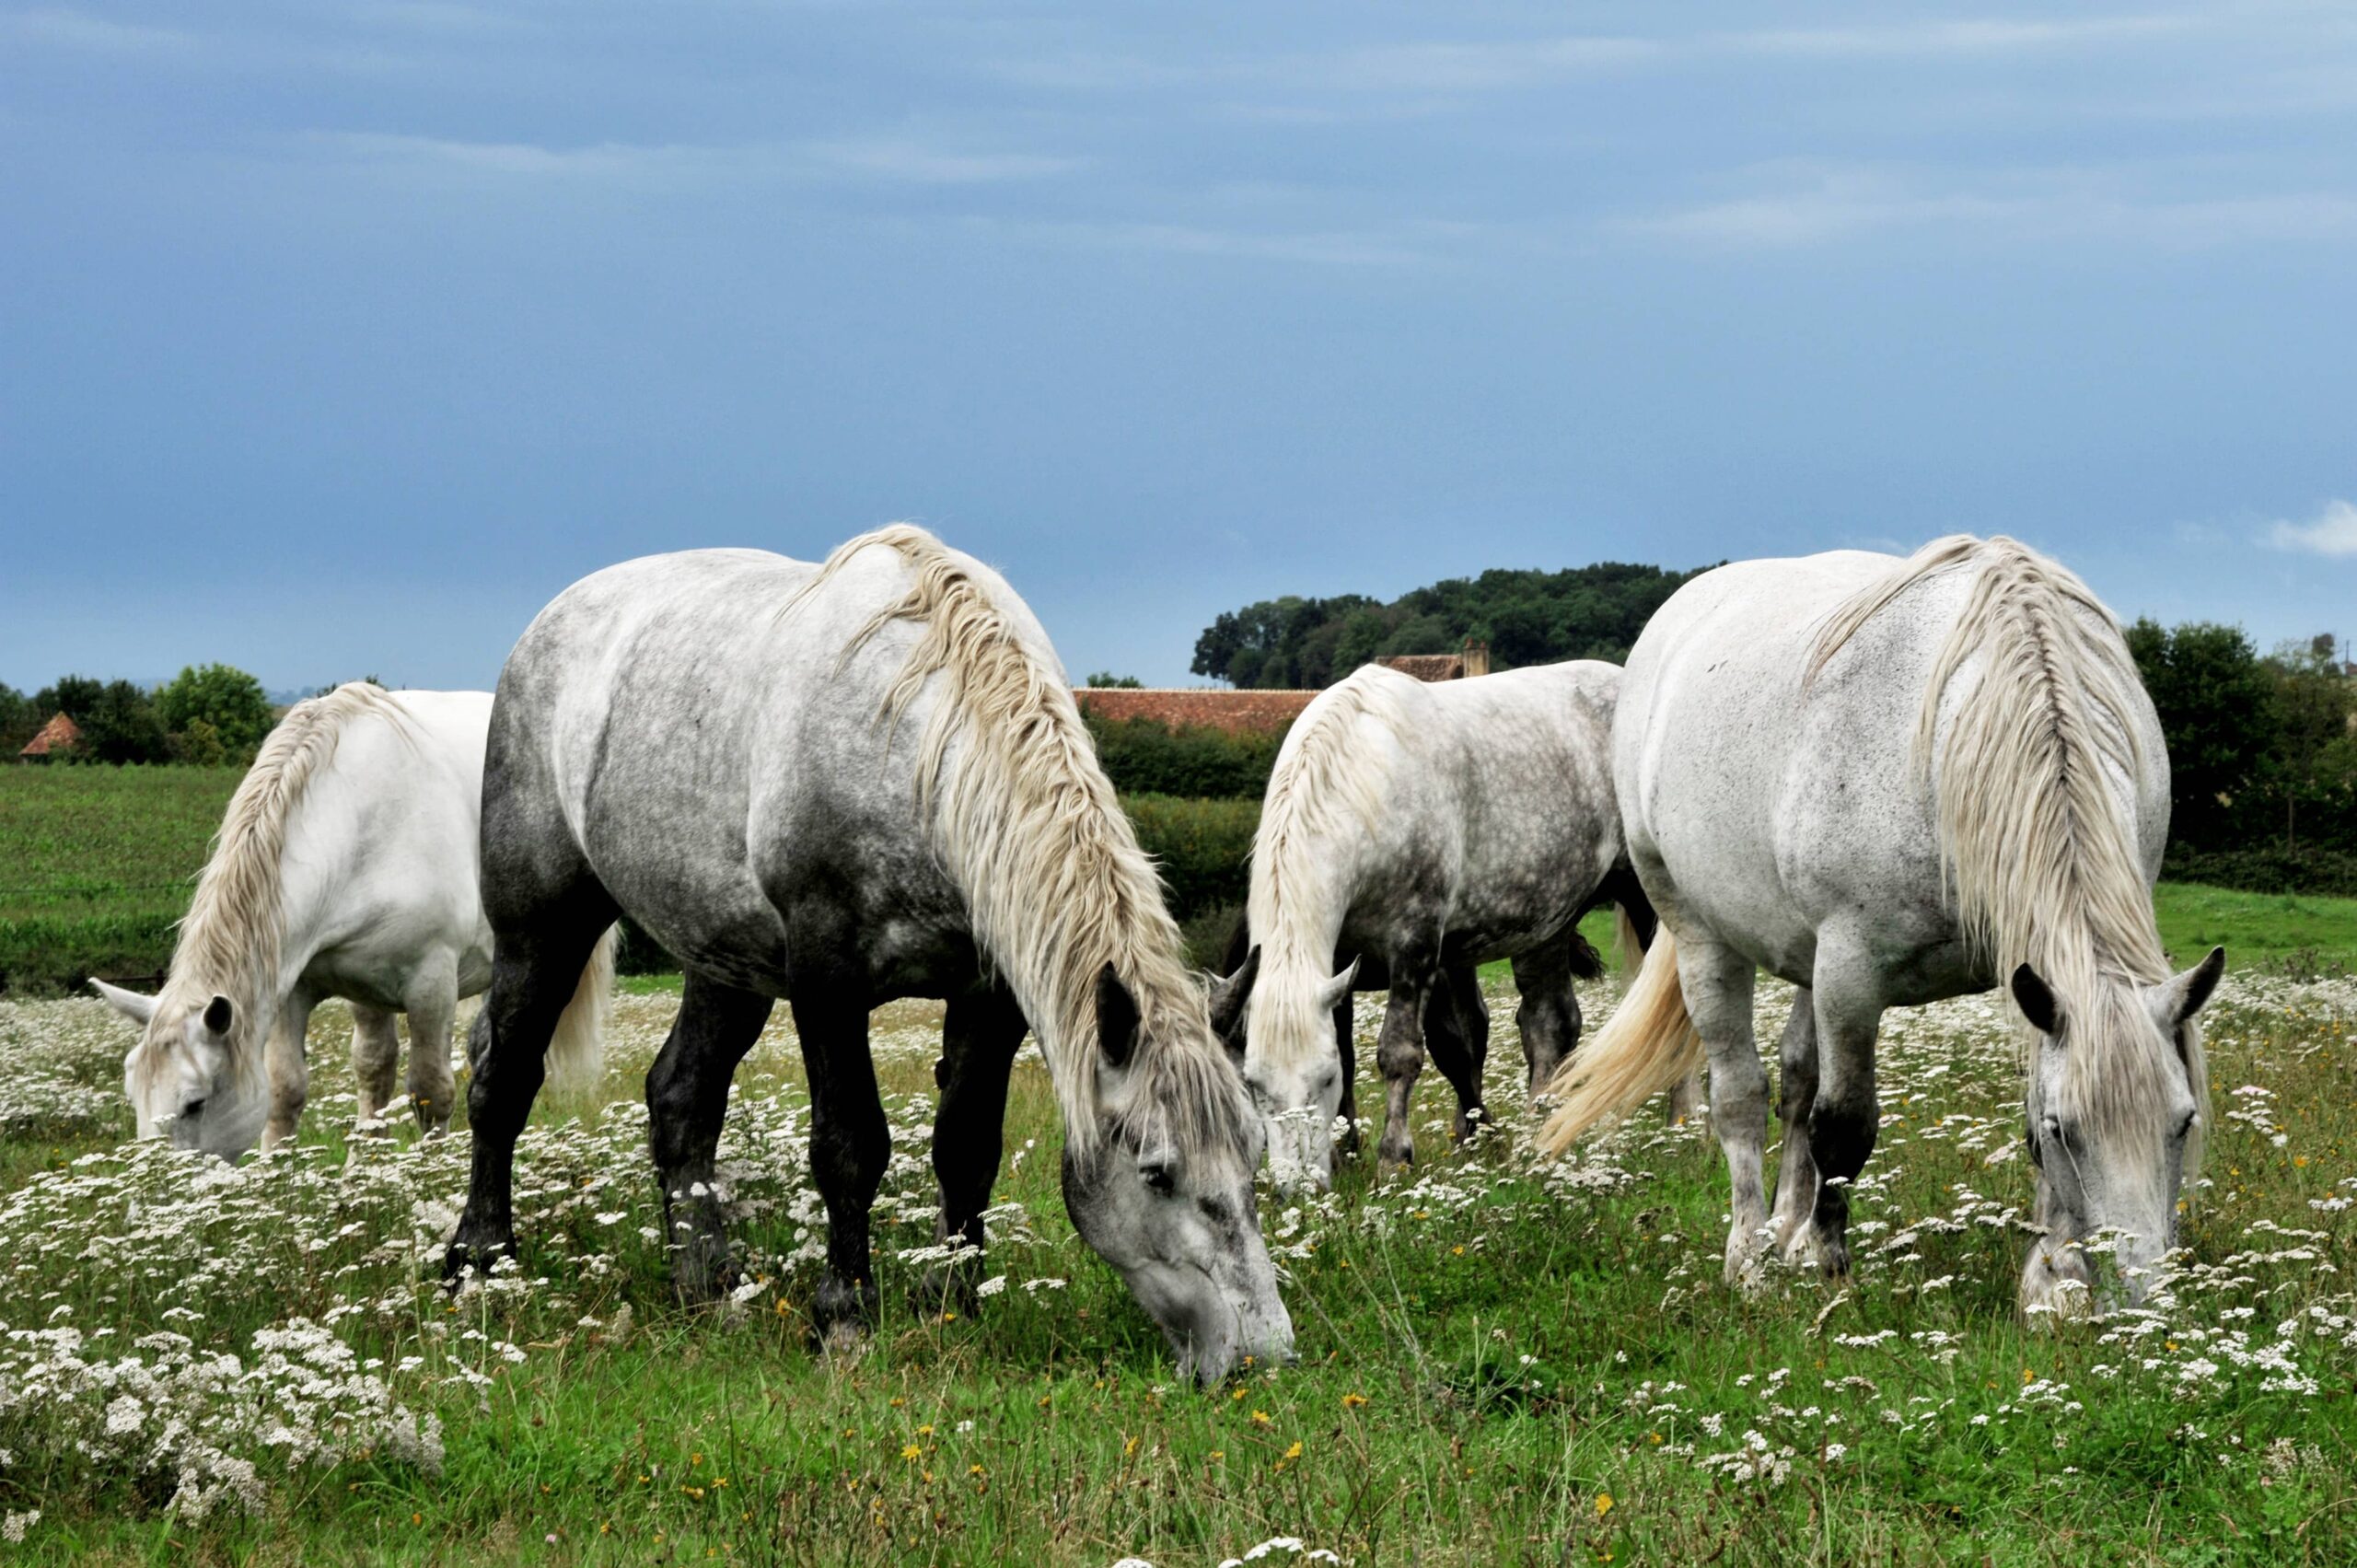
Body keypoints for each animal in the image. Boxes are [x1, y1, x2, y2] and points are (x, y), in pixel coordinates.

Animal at [99, 679, 617, 1155]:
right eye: (133, 1095)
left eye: (195, 1103)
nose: (159, 1185)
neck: (359, 821)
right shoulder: (301, 987)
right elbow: (297, 1087)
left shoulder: (432, 985)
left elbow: (431, 1090)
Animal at [443, 526, 1291, 1386]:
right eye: (1156, 1170)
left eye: (1254, 1151)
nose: (1261, 1354)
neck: (917, 748)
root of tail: (544, 630)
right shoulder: (827, 980)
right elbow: (850, 1144)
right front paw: (845, 1315)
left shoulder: (990, 995)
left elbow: (966, 1147)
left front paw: (954, 1301)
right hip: (542, 930)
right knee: (502, 1082)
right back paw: (478, 1262)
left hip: (725, 965)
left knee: (681, 1099)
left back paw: (706, 1283)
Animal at [1225, 655, 1650, 1188]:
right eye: (1253, 1083)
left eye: (1323, 1079)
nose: (1297, 1186)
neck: (1369, 783)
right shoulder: (1338, 962)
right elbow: (1358, 1049)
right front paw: (1347, 1152)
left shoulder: (1416, 946)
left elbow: (1400, 1053)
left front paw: (1393, 1157)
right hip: (1549, 925)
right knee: (1550, 1024)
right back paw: (1538, 1135)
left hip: (1644, 898)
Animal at [1537, 537, 2215, 1310]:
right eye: (2062, 1128)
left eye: (2184, 1120)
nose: (2142, 1307)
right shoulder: (1851, 974)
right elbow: (1845, 1126)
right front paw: (1829, 1264)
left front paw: (2048, 1287)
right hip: (1700, 933)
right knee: (1741, 1096)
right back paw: (1749, 1259)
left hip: (1803, 957)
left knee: (1796, 1080)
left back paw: (1784, 1230)